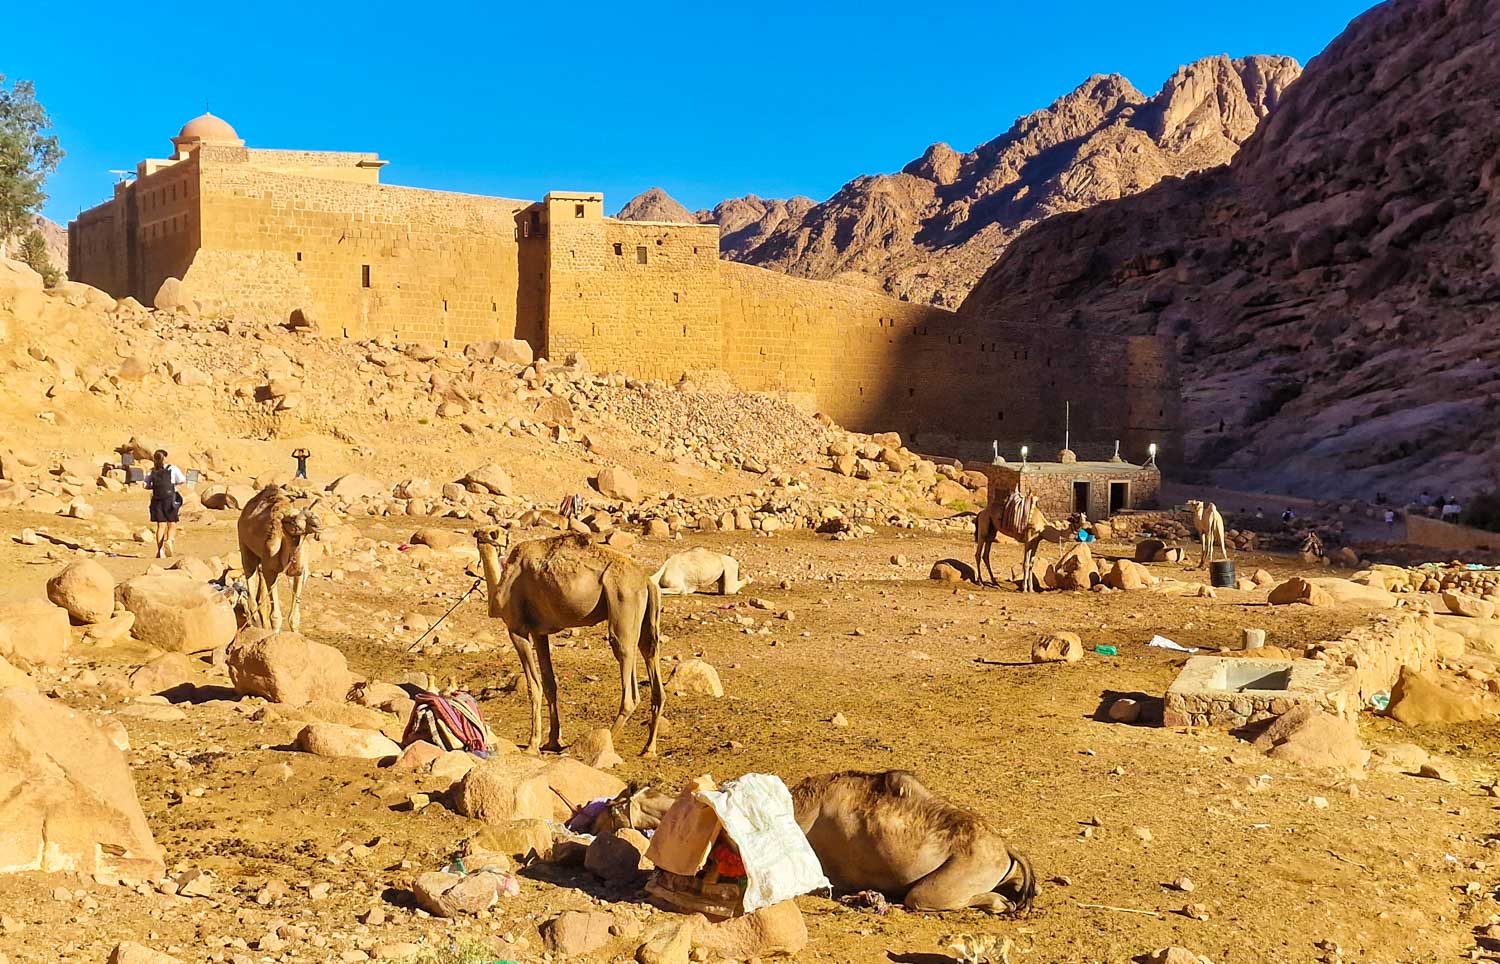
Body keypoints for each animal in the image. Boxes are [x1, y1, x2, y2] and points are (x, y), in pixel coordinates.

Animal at [235, 482, 321, 632]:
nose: (317, 523)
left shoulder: (301, 573)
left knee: (260, 596)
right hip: (245, 546)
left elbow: (294, 618)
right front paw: (275, 635)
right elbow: (275, 616)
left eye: (311, 515)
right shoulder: (271, 571)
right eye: (293, 520)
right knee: (250, 581)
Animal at [471, 527, 666, 761]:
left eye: (492, 533)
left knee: (628, 680)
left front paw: (532, 745)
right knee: (651, 661)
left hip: (623, 603)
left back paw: (596, 742)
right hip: (646, 618)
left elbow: (534, 685)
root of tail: (646, 580)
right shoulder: (539, 632)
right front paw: (552, 741)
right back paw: (649, 749)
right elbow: (549, 684)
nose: (482, 535)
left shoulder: (517, 630)